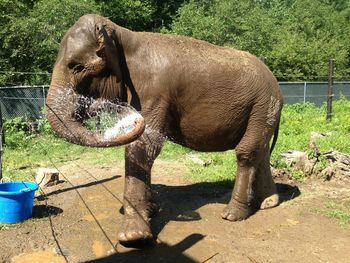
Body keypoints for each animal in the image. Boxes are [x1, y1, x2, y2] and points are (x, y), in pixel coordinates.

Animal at [45, 13, 284, 248]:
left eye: (76, 67)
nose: (96, 109)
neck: (122, 34)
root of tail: (275, 82)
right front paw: (152, 211)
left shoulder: (154, 90)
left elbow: (143, 148)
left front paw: (133, 238)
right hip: (264, 110)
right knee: (261, 151)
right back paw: (269, 202)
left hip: (263, 105)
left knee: (247, 152)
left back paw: (232, 214)